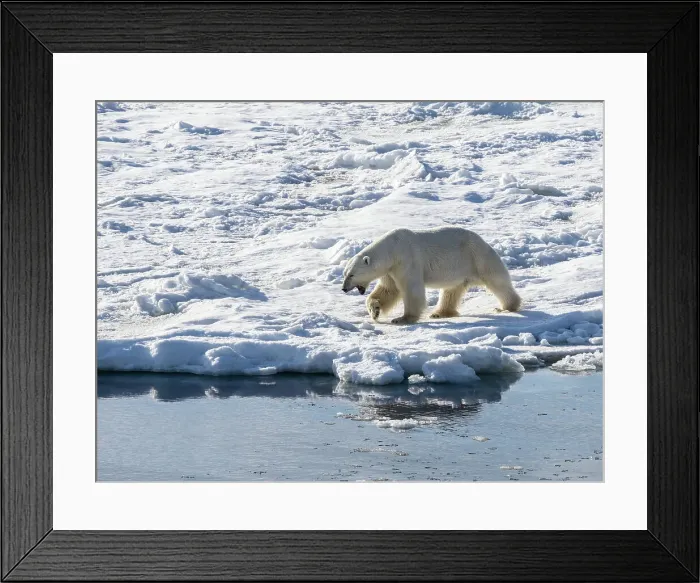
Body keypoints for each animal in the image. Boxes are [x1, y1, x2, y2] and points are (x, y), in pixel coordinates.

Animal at [341, 227, 521, 324]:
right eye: (345, 274)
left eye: (352, 275)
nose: (343, 288)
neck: (392, 249)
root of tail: (484, 241)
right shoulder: (391, 270)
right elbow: (388, 290)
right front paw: (374, 310)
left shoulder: (407, 260)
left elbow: (411, 289)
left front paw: (402, 318)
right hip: (458, 269)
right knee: (451, 290)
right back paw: (439, 313)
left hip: (477, 257)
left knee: (497, 281)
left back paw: (506, 307)